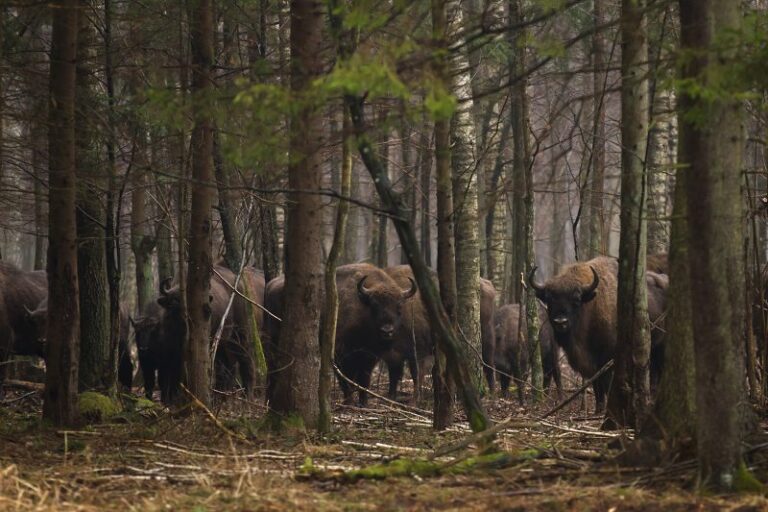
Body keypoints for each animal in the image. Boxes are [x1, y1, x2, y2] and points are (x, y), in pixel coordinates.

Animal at [264, 263, 417, 406]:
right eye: (374, 306)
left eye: (399, 307)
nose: (387, 331)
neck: (362, 307)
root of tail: (271, 285)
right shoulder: (340, 355)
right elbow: (345, 380)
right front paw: (349, 402)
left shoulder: (369, 357)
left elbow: (364, 381)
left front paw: (363, 403)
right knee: (272, 367)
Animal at [529, 257, 667, 413]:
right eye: (549, 299)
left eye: (576, 300)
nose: (560, 321)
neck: (591, 308)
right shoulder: (593, 364)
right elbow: (597, 387)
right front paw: (598, 409)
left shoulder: (608, 359)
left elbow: (606, 384)